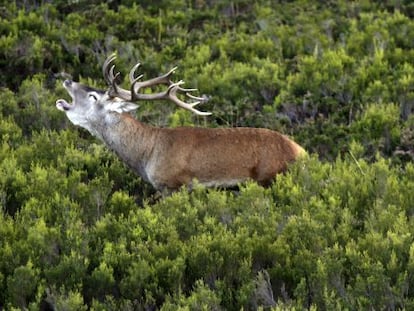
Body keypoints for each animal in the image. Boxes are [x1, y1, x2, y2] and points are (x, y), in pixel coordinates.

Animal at [56, 54, 306, 194]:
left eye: (93, 97)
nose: (67, 81)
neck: (147, 153)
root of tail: (301, 152)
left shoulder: (173, 185)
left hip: (268, 177)